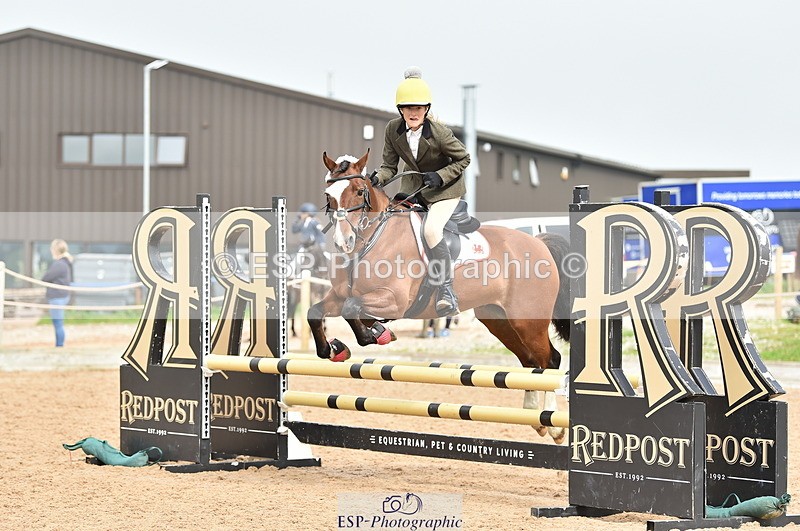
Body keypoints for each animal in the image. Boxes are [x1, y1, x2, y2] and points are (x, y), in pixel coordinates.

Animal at [308, 150, 571, 443]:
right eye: (329, 194)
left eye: (358, 191)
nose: (344, 243)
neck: (373, 238)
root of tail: (539, 243)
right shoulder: (340, 295)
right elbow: (318, 312)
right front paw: (335, 348)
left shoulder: (395, 300)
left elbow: (353, 309)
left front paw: (373, 335)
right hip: (499, 321)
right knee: (530, 362)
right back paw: (535, 418)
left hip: (527, 321)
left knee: (549, 361)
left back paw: (554, 425)